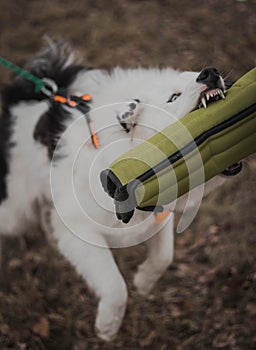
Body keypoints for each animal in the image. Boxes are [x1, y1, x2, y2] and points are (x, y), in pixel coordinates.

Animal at [0, 42, 228, 340]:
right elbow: (115, 285)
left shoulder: (156, 216)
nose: (210, 73)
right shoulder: (80, 231)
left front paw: (143, 282)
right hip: (16, 212)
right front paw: (108, 326)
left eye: (195, 74)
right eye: (173, 97)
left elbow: (164, 256)